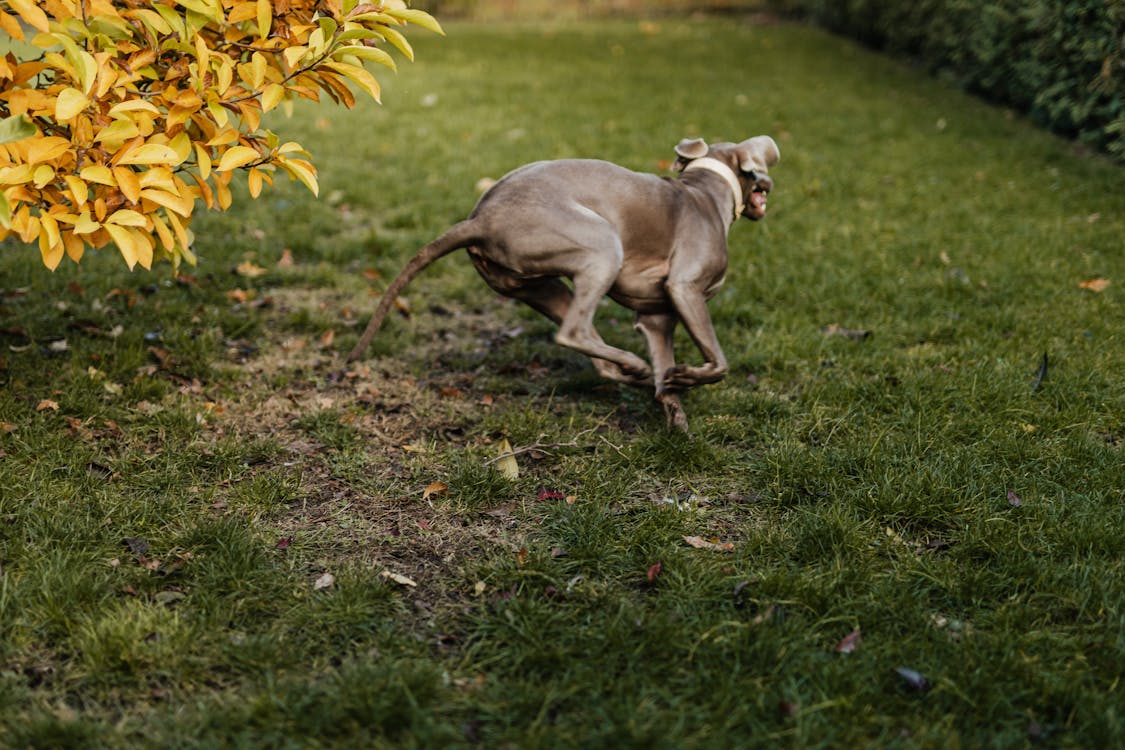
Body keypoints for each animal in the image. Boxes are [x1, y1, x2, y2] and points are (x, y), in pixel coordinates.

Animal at [344, 134, 783, 427]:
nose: (769, 186)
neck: (704, 194)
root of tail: (479, 220)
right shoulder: (685, 288)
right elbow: (719, 362)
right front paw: (685, 378)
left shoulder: (658, 318)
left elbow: (669, 379)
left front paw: (676, 414)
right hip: (601, 246)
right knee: (574, 331)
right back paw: (632, 364)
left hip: (537, 284)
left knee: (593, 348)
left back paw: (633, 371)